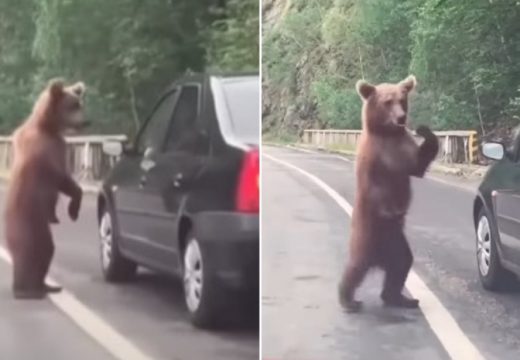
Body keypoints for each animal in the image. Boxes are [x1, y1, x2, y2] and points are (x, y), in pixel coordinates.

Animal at [4, 79, 87, 300]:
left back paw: (46, 286)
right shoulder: (44, 153)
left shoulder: (58, 145)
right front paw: (73, 210)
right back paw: (27, 290)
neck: (48, 127)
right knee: (36, 251)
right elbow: (61, 179)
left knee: (46, 252)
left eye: (80, 104)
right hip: (30, 224)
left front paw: (71, 210)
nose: (86, 122)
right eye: (72, 105)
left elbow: (68, 180)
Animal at [338, 74, 438, 312]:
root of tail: (379, 259)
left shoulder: (404, 148)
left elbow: (418, 165)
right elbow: (378, 188)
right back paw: (348, 299)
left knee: (401, 263)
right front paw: (391, 210)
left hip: (395, 241)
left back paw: (401, 298)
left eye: (402, 99)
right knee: (355, 268)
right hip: (368, 235)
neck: (387, 133)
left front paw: (424, 130)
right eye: (387, 101)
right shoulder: (374, 157)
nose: (402, 117)